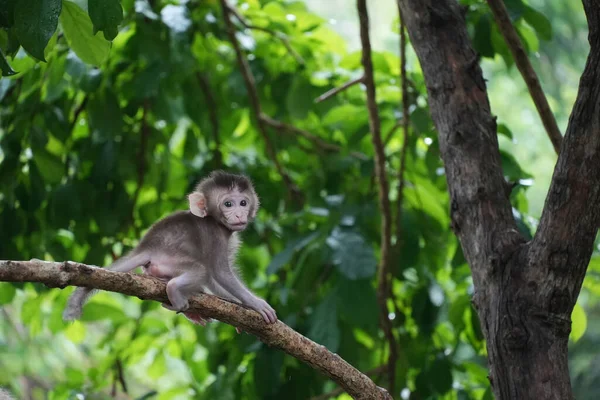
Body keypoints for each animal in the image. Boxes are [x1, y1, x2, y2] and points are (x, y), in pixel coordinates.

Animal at [62, 170, 278, 326]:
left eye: (243, 202)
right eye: (228, 204)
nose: (239, 214)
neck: (216, 222)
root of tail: (146, 247)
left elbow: (215, 279)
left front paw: (236, 303)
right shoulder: (215, 236)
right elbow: (219, 273)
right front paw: (255, 303)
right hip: (169, 261)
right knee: (200, 270)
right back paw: (174, 290)